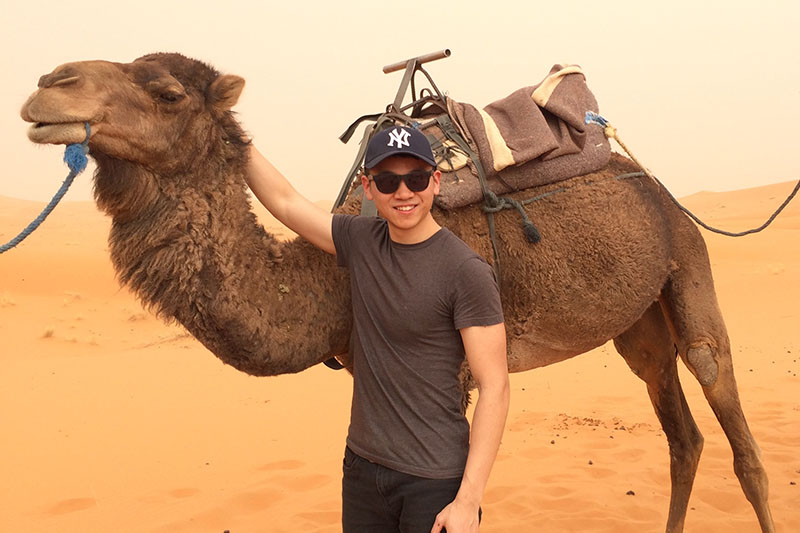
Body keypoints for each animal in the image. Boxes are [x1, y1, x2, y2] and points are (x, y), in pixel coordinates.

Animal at [20, 53, 776, 532]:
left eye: (167, 93)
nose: (50, 85)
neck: (330, 281)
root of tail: (649, 181)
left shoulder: (465, 372)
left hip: (687, 258)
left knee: (726, 408)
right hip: (637, 321)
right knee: (681, 434)